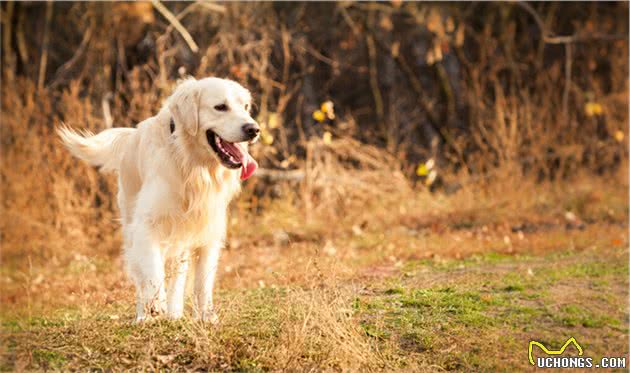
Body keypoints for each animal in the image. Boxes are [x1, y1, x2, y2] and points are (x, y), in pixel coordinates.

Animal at [57, 77, 260, 322]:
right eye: (220, 107)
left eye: (245, 107)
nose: (253, 129)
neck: (190, 164)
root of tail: (131, 134)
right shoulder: (147, 225)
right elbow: (152, 272)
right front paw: (155, 305)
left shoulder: (209, 232)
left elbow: (202, 283)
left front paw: (206, 317)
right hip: (131, 226)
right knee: (140, 275)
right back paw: (142, 316)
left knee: (177, 276)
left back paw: (174, 314)